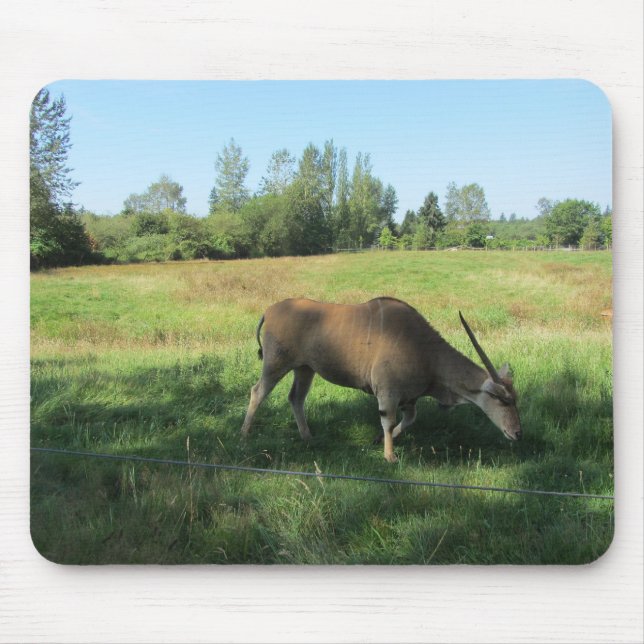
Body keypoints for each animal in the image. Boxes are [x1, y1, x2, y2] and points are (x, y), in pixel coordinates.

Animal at [240, 297, 521, 462]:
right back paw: (244, 433)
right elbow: (388, 421)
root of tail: (270, 310)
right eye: (500, 399)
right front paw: (390, 456)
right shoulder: (388, 392)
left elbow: (408, 420)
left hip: (305, 368)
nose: (517, 433)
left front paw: (378, 440)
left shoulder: (409, 398)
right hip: (276, 363)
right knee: (257, 391)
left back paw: (307, 437)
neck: (424, 349)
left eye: (515, 400)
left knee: (295, 398)